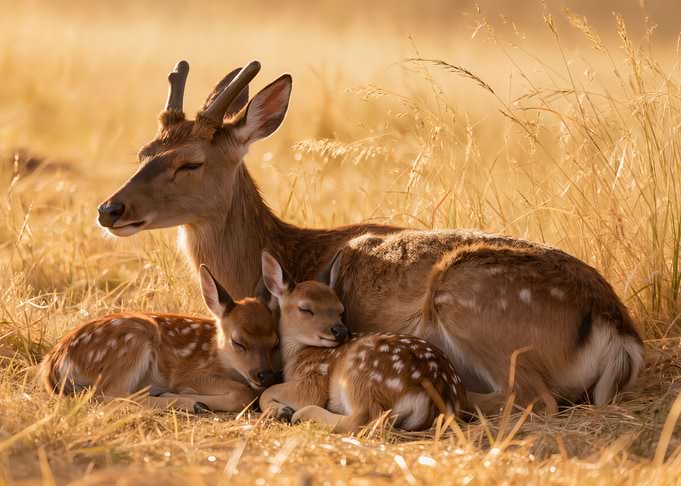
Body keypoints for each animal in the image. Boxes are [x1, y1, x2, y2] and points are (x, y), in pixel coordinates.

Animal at [40, 264, 279, 413]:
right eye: (238, 342)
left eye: (275, 343)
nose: (266, 375)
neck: (218, 355)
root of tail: (53, 364)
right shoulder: (189, 374)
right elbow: (243, 393)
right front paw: (191, 395)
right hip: (132, 341)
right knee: (106, 395)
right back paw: (191, 404)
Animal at [96, 59, 644, 414]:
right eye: (144, 151)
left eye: (191, 163)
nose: (109, 208)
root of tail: (621, 334)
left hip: (474, 305)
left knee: (531, 398)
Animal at [258, 251, 466, 432]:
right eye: (305, 309)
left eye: (340, 310)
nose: (341, 331)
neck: (297, 354)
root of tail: (432, 395)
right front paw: (281, 410)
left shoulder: (313, 379)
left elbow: (268, 391)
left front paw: (283, 410)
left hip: (361, 375)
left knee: (364, 420)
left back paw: (300, 414)